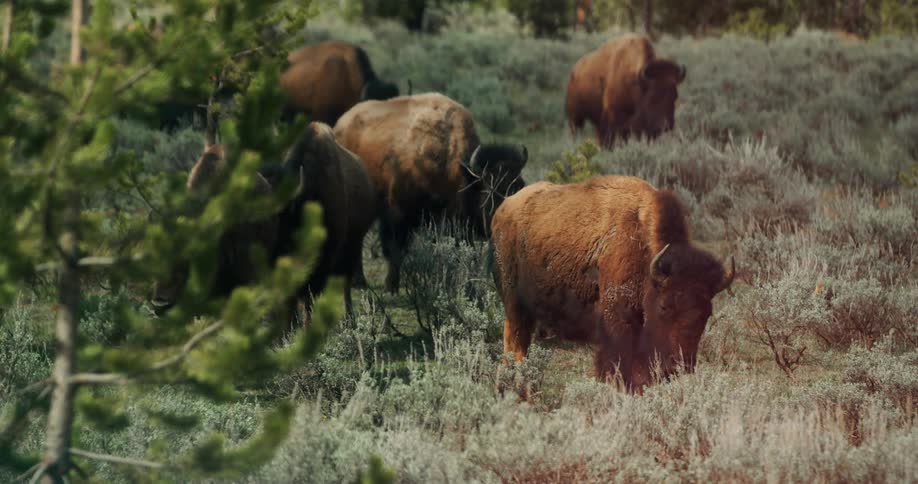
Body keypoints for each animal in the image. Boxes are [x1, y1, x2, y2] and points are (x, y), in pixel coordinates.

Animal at [334, 93, 529, 292]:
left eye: (520, 185)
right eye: (492, 188)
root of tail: (340, 125)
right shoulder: (398, 214)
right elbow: (395, 250)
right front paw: (391, 286)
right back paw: (359, 281)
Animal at [490, 175, 734, 391]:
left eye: (707, 313)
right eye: (664, 306)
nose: (679, 367)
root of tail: (503, 208)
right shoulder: (617, 327)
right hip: (515, 307)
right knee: (515, 349)